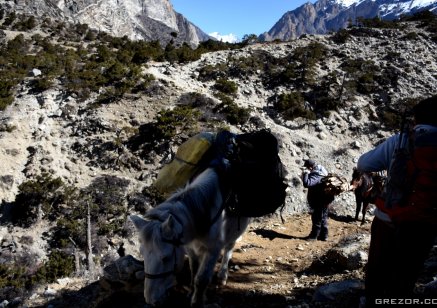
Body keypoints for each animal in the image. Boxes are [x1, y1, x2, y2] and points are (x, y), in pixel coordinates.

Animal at [130, 167, 249, 306]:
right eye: (142, 253)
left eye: (165, 258)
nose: (151, 299)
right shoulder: (190, 247)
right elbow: (194, 269)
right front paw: (191, 292)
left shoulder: (213, 250)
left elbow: (201, 279)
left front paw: (197, 301)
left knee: (229, 247)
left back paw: (222, 275)